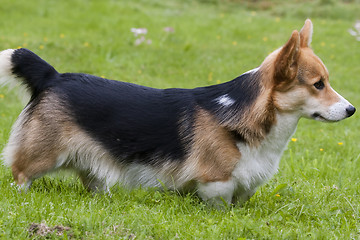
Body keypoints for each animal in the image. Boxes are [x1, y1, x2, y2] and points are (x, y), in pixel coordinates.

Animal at [0, 18, 354, 204]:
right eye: (318, 84)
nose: (351, 109)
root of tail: (53, 76)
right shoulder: (216, 183)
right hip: (43, 154)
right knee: (20, 172)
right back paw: (22, 197)